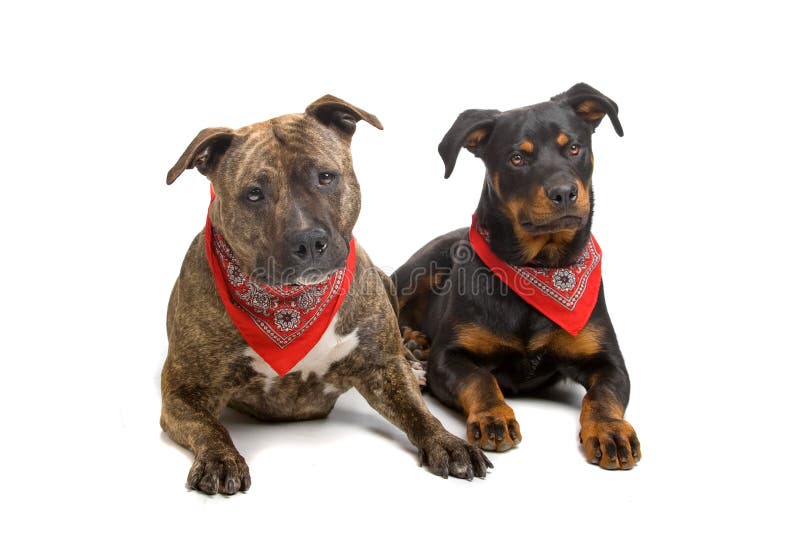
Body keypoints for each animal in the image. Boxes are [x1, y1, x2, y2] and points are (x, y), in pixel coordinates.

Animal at [160, 94, 490, 496]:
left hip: (386, 282)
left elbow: (416, 411)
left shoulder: (382, 365)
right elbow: (209, 426)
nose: (308, 241)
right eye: (254, 194)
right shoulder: (182, 391)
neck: (291, 305)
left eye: (326, 176)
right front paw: (221, 458)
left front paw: (447, 442)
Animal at [396, 81, 644, 472]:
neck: (539, 268)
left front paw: (610, 431)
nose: (564, 192)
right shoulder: (449, 357)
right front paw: (493, 416)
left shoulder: (609, 362)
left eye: (574, 147)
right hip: (417, 269)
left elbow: (603, 396)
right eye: (517, 158)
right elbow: (481, 379)